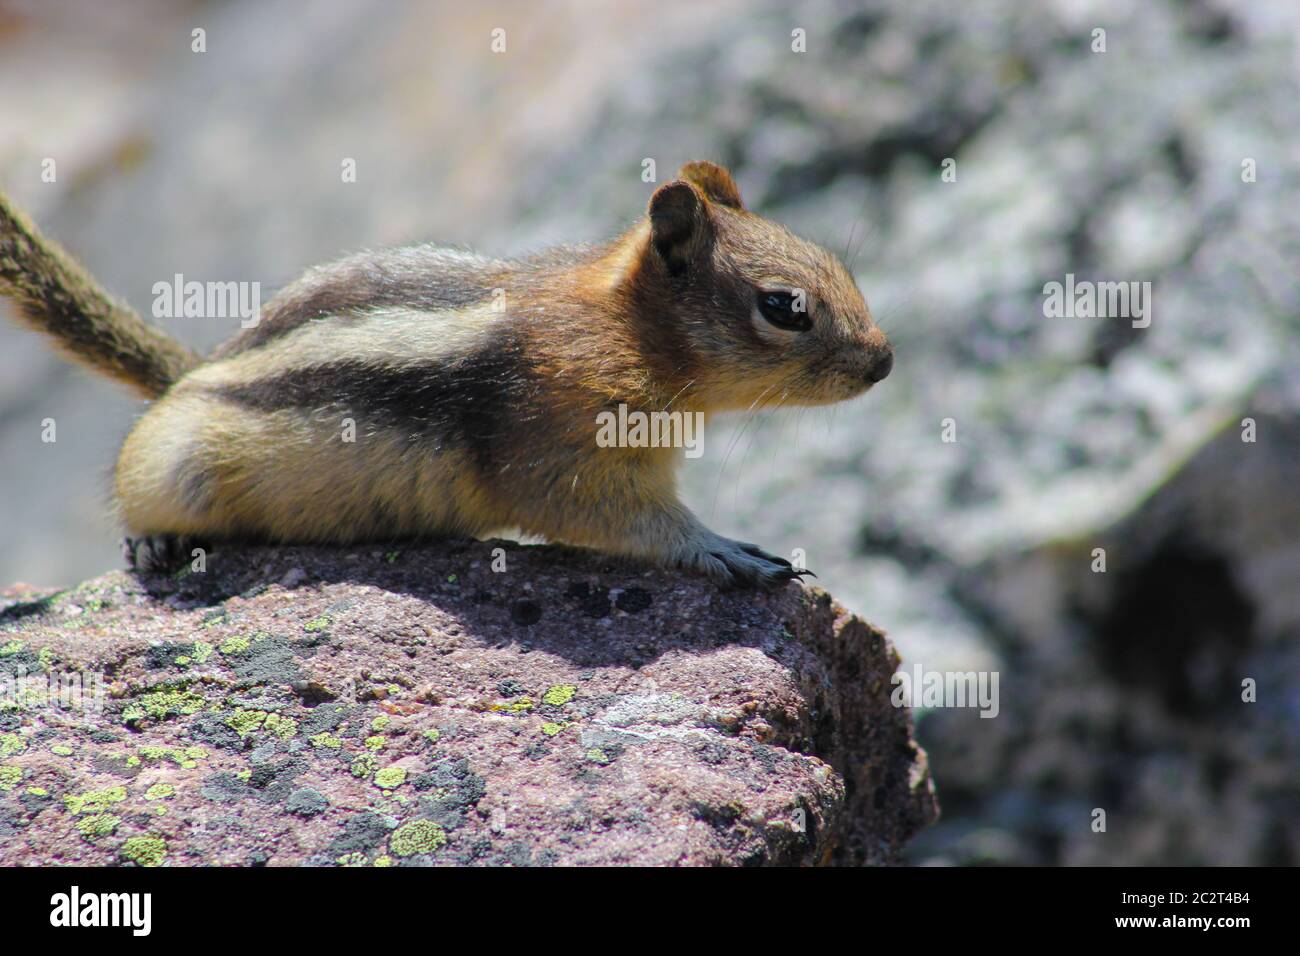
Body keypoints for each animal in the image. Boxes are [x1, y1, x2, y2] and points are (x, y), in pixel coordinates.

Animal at [0, 160, 889, 587]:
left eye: (840, 266)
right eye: (784, 307)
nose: (885, 362)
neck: (627, 329)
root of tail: (191, 375)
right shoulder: (569, 452)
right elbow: (629, 523)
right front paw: (727, 549)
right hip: (175, 462)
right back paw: (153, 541)